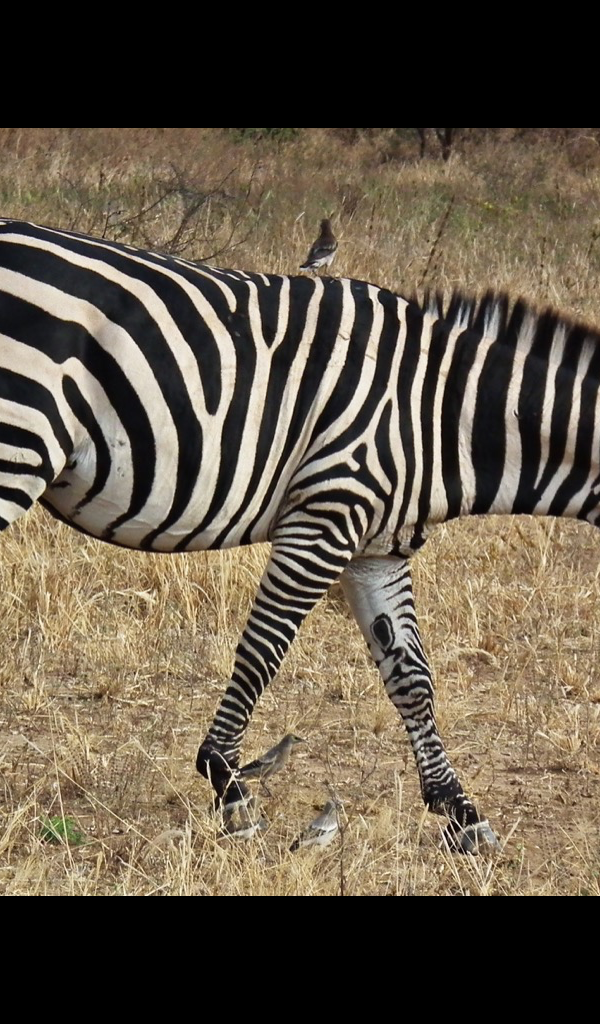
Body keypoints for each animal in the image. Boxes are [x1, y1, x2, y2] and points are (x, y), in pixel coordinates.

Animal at [1, 218, 598, 853]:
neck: (441, 413)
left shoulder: (377, 547)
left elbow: (411, 675)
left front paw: (461, 813)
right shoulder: (326, 516)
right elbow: (262, 652)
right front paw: (229, 789)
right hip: (18, 441)